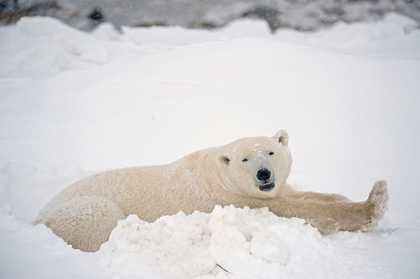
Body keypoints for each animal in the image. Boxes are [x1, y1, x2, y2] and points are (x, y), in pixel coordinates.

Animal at [34, 131, 388, 254]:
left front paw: (343, 196)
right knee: (100, 216)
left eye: (271, 152)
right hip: (81, 211)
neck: (217, 173)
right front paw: (375, 202)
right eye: (246, 159)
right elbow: (302, 213)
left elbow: (299, 196)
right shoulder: (234, 201)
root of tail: (36, 219)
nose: (263, 173)